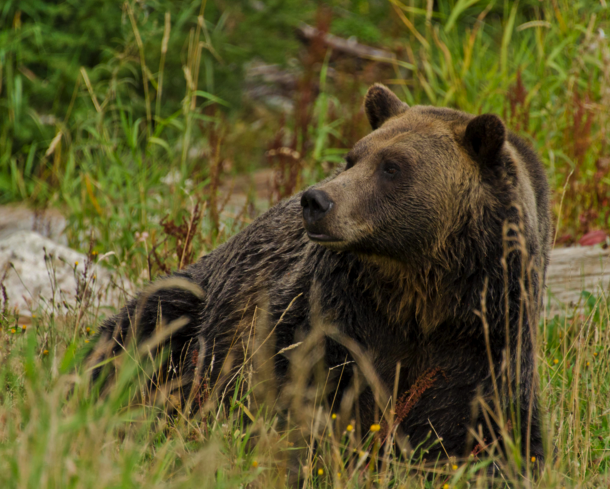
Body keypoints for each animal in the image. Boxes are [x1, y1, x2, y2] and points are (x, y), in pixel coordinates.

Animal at [91, 84, 552, 466]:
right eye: (353, 157)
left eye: (393, 166)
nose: (316, 200)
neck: (417, 288)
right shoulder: (336, 312)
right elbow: (297, 387)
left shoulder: (485, 332)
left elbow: (488, 426)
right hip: (195, 303)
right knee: (140, 333)